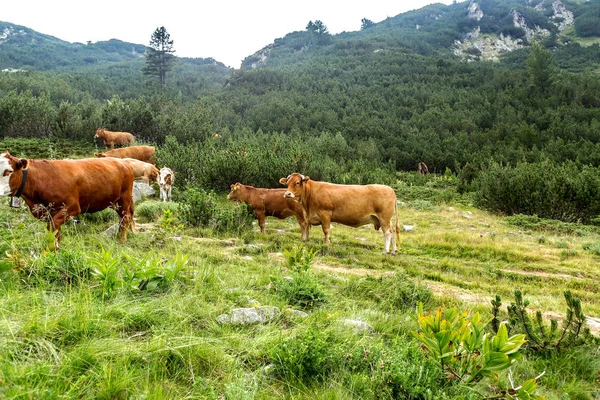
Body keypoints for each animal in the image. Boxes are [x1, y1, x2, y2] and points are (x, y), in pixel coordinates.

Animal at [0, 152, 135, 248]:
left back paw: (121, 240)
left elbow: (53, 227)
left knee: (125, 218)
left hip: (124, 198)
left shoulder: (72, 207)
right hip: (114, 202)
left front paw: (52, 249)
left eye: (8, 172)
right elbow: (55, 231)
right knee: (121, 219)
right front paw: (55, 249)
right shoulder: (50, 212)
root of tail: (123, 161)